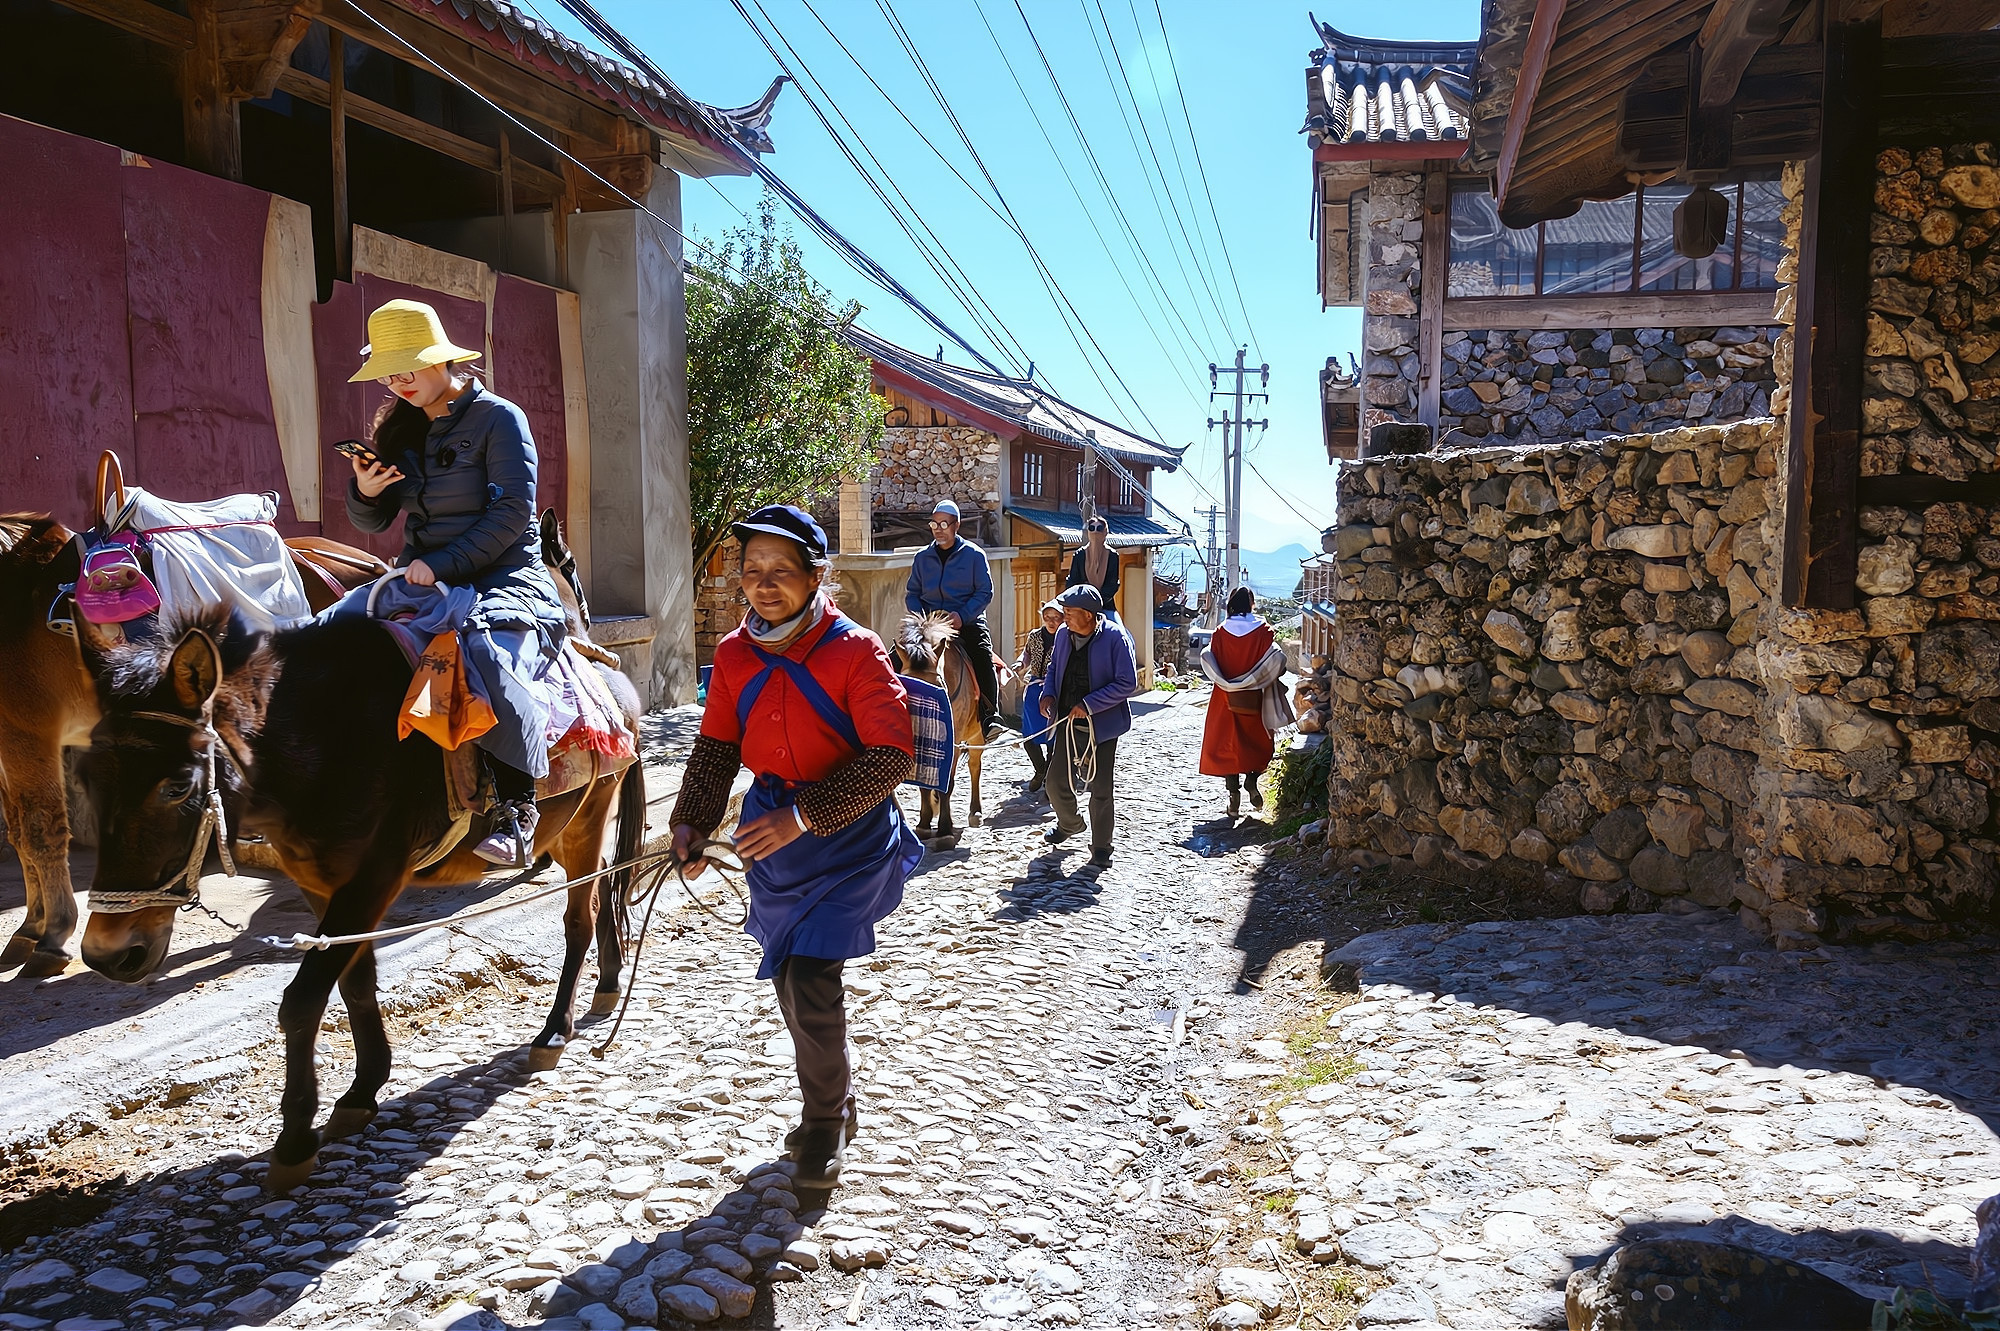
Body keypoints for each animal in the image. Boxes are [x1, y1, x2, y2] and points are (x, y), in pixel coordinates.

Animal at [76, 515, 640, 1183]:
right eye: (86, 779)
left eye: (177, 786)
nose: (110, 954)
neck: (324, 738)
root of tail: (611, 682)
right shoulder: (326, 887)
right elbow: (354, 982)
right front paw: (362, 1090)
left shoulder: (373, 878)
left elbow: (303, 1000)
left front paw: (296, 1137)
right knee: (601, 896)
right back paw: (605, 983)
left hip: (585, 821)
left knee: (580, 915)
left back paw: (554, 1031)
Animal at [892, 615, 984, 839]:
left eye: (938, 686)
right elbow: (924, 783)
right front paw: (924, 823)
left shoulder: (954, 741)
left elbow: (947, 784)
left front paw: (944, 828)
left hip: (976, 735)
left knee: (974, 767)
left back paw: (975, 812)